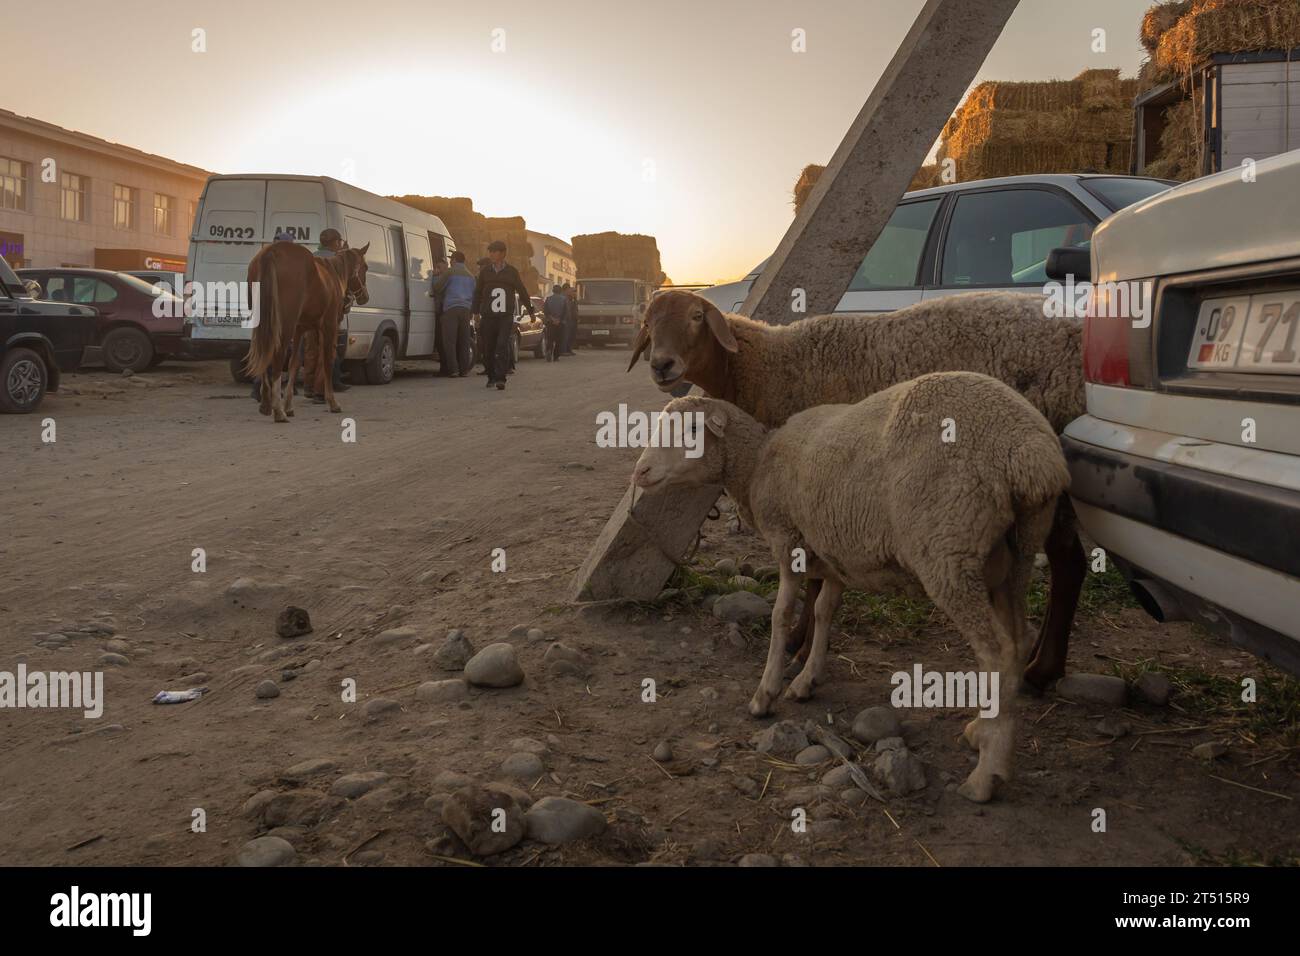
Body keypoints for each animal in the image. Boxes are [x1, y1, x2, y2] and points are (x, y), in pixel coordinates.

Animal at [627, 289, 1085, 690]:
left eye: (696, 316)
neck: (768, 365)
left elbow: (815, 584)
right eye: (648, 323)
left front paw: (800, 649)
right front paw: (800, 645)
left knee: (1069, 562)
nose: (662, 365)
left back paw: (1042, 670)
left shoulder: (810, 487)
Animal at [631, 373, 1071, 802]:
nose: (640, 472)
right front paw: (807, 680)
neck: (758, 463)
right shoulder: (833, 554)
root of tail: (1033, 455)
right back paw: (983, 729)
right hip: (1014, 556)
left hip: (948, 550)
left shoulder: (788, 540)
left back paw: (986, 775)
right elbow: (824, 611)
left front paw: (765, 693)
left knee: (997, 651)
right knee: (1018, 640)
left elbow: (781, 616)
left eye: (692, 429)